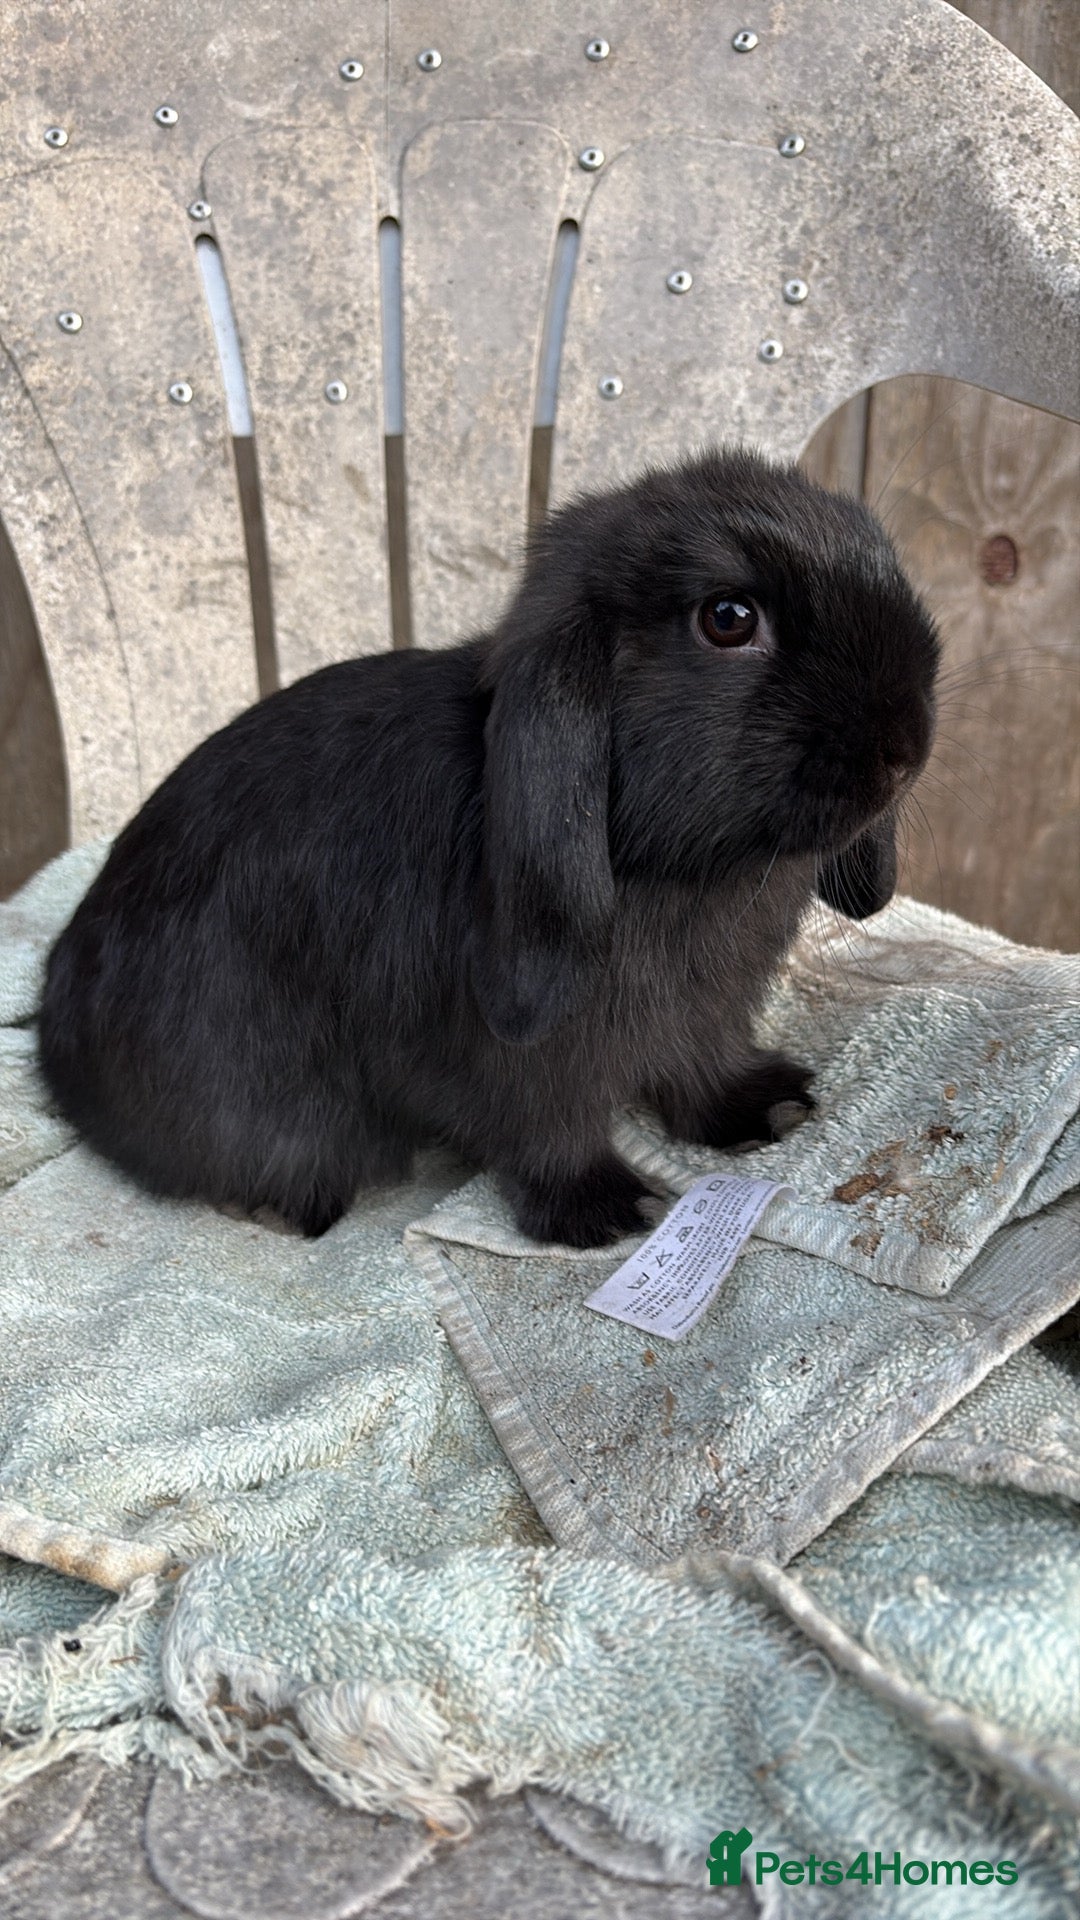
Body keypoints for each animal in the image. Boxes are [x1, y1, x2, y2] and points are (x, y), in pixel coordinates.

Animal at [38, 447, 939, 1247]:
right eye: (728, 619)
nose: (904, 747)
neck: (684, 873)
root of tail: (57, 1047)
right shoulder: (517, 1062)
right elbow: (547, 1130)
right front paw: (604, 1211)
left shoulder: (705, 1014)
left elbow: (701, 1067)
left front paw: (768, 1109)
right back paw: (274, 1204)